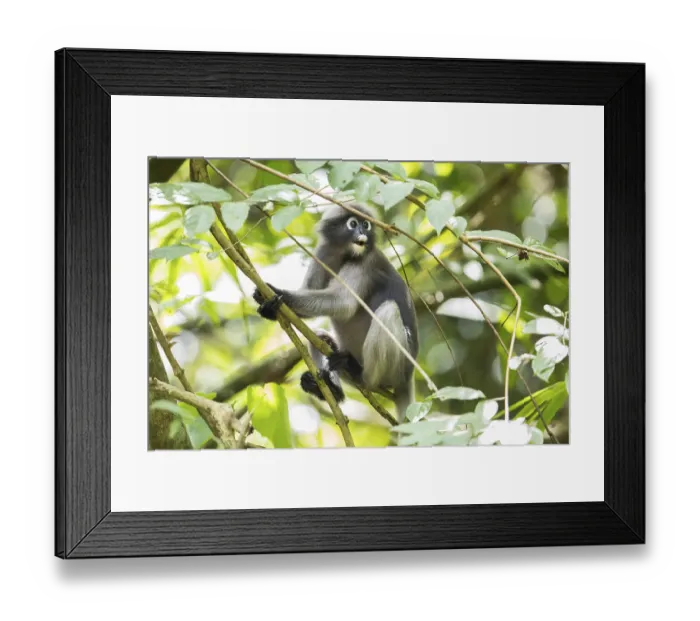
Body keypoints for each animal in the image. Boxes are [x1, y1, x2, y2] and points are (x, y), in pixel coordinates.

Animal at [252, 203, 418, 422]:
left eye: (366, 224)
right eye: (353, 224)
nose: (362, 232)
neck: (344, 252)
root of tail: (408, 377)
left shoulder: (365, 262)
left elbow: (343, 303)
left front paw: (279, 294)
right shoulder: (323, 253)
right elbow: (309, 293)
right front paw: (269, 307)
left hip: (399, 367)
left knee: (389, 310)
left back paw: (360, 374)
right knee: (320, 337)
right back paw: (331, 390)